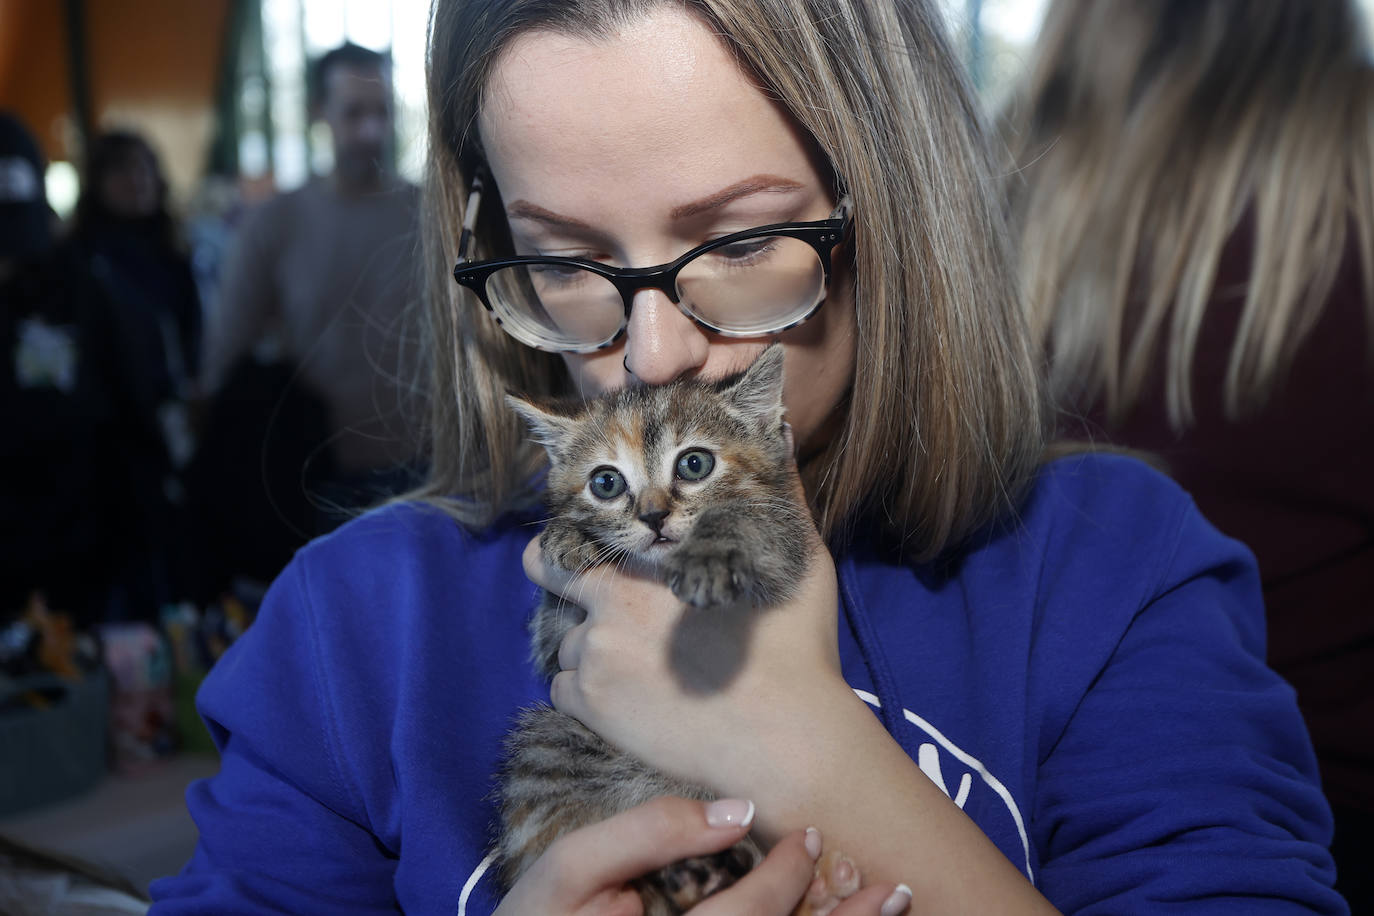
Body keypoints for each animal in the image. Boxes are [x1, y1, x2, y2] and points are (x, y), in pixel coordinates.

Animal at [494, 346, 857, 916]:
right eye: (606, 482)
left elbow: (743, 519)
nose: (653, 516)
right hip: (548, 737)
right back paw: (695, 872)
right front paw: (568, 534)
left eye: (694, 464)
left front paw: (709, 554)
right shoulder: (553, 641)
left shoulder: (787, 544)